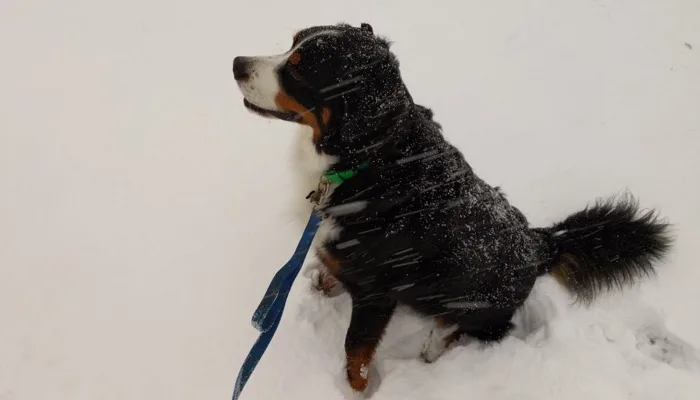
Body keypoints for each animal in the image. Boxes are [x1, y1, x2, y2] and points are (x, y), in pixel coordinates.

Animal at [231, 23, 672, 396]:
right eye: (291, 44)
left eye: (300, 70)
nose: (236, 63)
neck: (370, 159)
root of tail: (539, 244)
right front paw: (324, 282)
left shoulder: (377, 294)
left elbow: (355, 349)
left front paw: (358, 391)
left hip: (472, 301)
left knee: (472, 327)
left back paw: (435, 343)